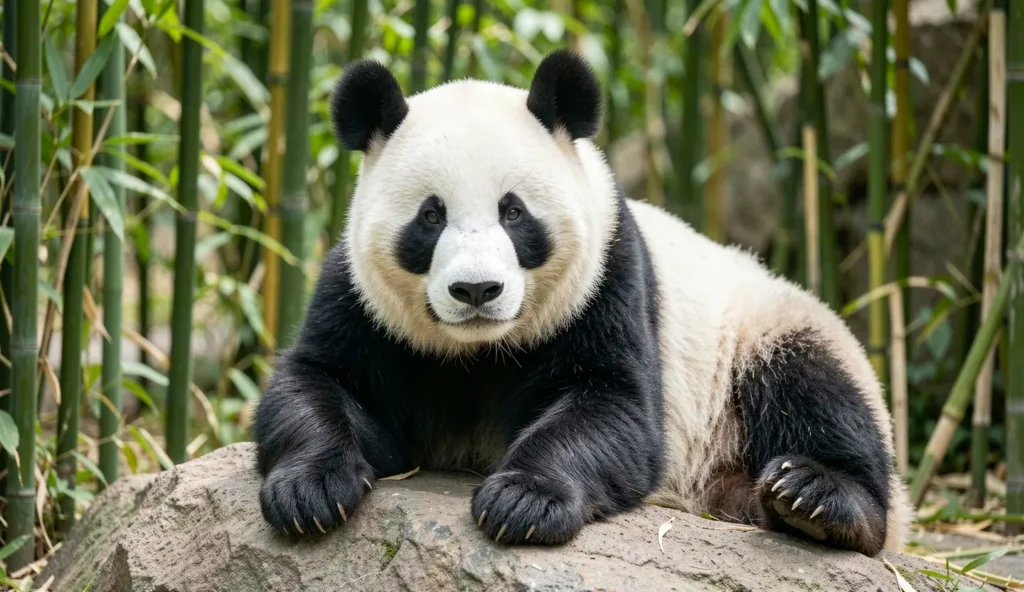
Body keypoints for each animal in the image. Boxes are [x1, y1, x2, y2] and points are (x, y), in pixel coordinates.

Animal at [252, 49, 912, 557]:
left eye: (514, 213)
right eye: (430, 216)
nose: (476, 291)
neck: (477, 351)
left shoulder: (608, 281)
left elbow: (612, 408)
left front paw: (523, 501)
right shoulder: (361, 300)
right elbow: (317, 383)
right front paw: (309, 491)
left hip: (766, 327)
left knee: (817, 389)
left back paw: (817, 500)